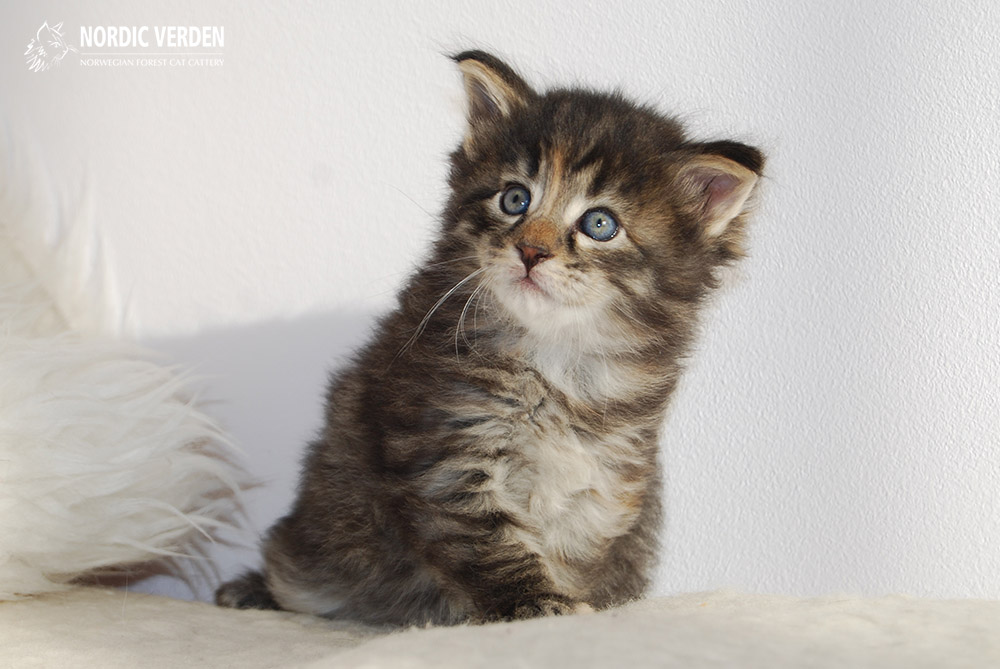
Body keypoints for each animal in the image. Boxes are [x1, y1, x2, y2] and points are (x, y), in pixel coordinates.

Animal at [215, 50, 764, 625]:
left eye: (599, 224)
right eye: (515, 199)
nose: (531, 251)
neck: (555, 358)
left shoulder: (608, 477)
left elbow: (575, 551)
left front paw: (575, 604)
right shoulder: (448, 451)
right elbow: (492, 546)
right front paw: (538, 605)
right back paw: (252, 591)